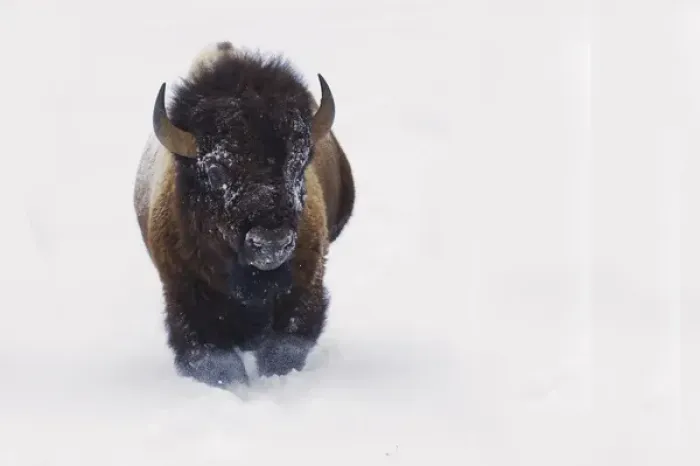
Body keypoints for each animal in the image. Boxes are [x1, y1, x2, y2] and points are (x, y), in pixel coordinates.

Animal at [133, 42, 355, 387]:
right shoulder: (185, 299)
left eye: (299, 163)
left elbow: (285, 348)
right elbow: (214, 361)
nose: (271, 242)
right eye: (215, 171)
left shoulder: (306, 288)